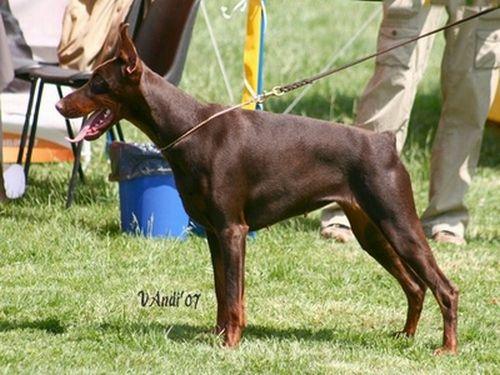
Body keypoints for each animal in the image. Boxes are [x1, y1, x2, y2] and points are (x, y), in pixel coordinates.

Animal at [56, 24, 458, 356]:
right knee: (415, 286)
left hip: (399, 222)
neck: (188, 127)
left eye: (98, 82)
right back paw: (405, 336)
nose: (59, 104)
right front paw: (218, 335)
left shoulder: (233, 230)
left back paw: (447, 348)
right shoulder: (214, 232)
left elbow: (233, 295)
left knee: (445, 288)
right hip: (371, 231)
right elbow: (223, 291)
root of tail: (385, 141)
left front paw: (230, 343)